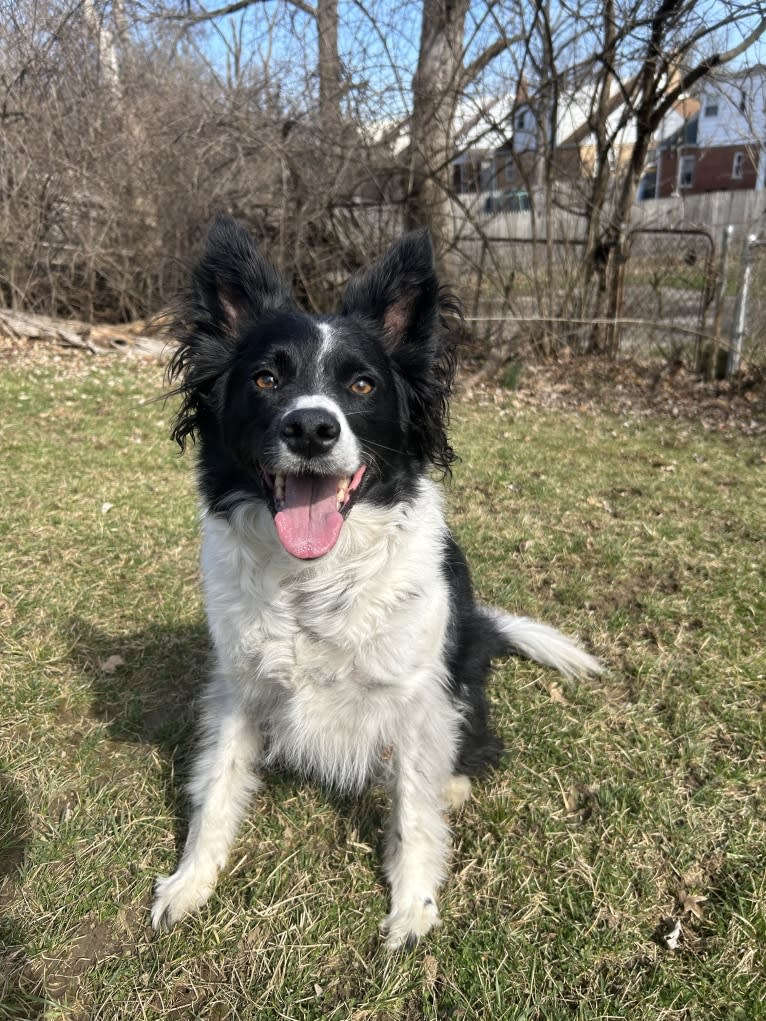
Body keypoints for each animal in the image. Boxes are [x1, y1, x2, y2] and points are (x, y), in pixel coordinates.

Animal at [150, 217, 600, 947]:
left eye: (361, 387)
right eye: (266, 377)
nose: (310, 427)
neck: (314, 580)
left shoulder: (416, 701)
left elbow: (413, 814)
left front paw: (413, 905)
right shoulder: (238, 686)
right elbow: (216, 787)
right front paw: (190, 882)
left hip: (462, 683)